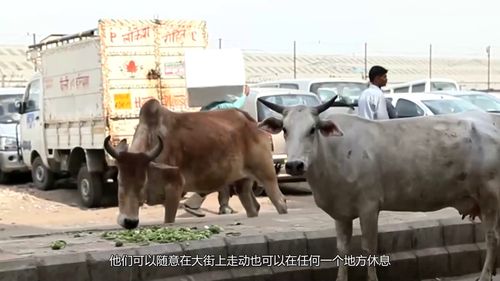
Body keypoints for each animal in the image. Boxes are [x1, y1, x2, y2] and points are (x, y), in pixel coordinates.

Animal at [103, 98, 288, 228]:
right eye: (119, 181)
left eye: (142, 182)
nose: (129, 222)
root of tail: (255, 124)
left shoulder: (175, 189)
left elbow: (168, 220)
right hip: (242, 183)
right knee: (253, 208)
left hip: (267, 174)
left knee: (280, 201)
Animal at [260, 94, 500, 280]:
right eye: (284, 129)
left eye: (312, 129)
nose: (294, 165)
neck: (333, 154)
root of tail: (490, 120)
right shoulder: (341, 213)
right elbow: (342, 249)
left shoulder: (369, 207)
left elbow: (369, 248)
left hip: (490, 197)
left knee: (491, 238)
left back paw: (484, 275)